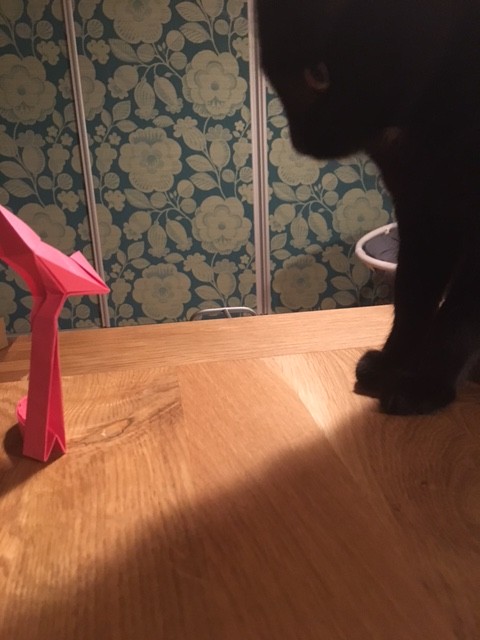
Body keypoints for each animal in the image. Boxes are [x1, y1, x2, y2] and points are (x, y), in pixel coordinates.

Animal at [256, 0, 480, 415]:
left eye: (318, 74)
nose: (300, 143)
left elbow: (458, 314)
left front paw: (425, 384)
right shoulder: (422, 208)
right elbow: (411, 291)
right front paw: (394, 363)